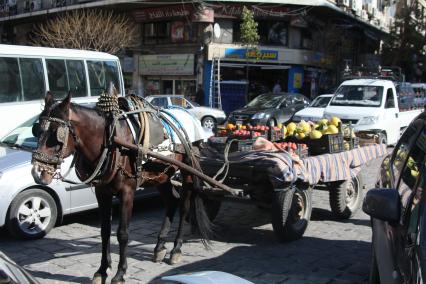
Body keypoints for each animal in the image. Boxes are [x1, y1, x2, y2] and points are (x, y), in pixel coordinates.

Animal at [30, 88, 213, 282]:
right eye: (37, 130)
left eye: (56, 134)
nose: (37, 172)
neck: (112, 142)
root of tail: (188, 115)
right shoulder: (102, 192)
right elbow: (105, 231)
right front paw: (102, 271)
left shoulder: (127, 192)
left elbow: (122, 234)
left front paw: (120, 273)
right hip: (161, 174)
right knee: (171, 200)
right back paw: (160, 246)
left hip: (187, 170)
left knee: (184, 206)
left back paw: (176, 249)